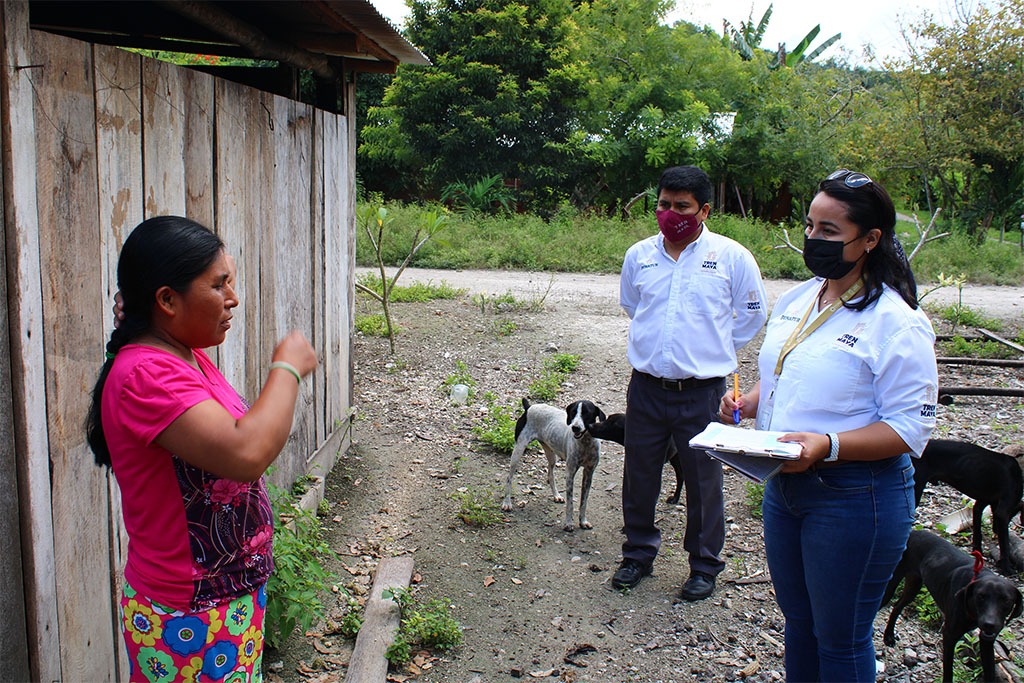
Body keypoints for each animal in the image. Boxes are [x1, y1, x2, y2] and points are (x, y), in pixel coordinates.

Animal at [499, 397, 602, 532]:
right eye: (573, 412)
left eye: (587, 413)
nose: (575, 427)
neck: (585, 442)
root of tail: (529, 407)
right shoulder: (570, 473)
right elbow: (570, 503)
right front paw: (568, 523)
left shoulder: (589, 473)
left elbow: (583, 502)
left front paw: (583, 522)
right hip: (518, 450)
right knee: (509, 477)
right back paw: (507, 502)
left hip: (551, 455)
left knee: (550, 475)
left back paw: (556, 495)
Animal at [880, 532, 1024, 679]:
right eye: (980, 596)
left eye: (1006, 600)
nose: (989, 624)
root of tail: (913, 533)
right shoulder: (949, 635)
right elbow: (948, 670)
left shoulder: (987, 640)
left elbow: (990, 670)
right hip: (890, 585)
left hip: (913, 585)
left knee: (897, 606)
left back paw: (889, 636)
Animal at [913, 440, 1024, 573]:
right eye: (1011, 515)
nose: (996, 530)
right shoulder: (1002, 512)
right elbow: (1005, 544)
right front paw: (1006, 567)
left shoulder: (981, 504)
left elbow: (977, 531)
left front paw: (977, 551)